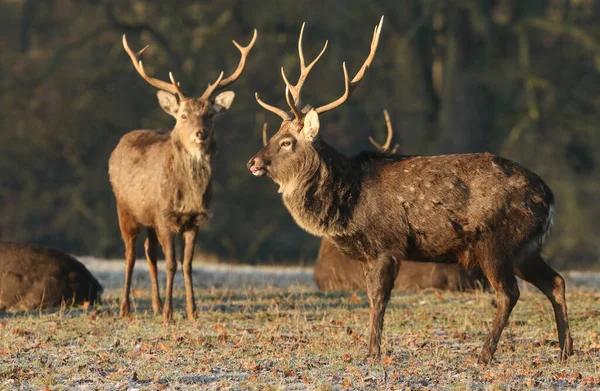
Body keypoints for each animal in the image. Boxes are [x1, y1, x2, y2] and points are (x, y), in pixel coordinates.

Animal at [110, 29, 258, 320]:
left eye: (210, 114)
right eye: (183, 115)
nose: (201, 134)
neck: (188, 196)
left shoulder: (193, 220)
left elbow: (187, 264)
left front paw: (192, 311)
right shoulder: (165, 216)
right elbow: (171, 263)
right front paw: (170, 313)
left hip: (150, 219)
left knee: (149, 253)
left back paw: (155, 305)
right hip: (125, 209)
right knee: (130, 254)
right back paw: (125, 308)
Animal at [247, 18, 572, 366]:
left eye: (286, 142)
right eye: (275, 135)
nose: (253, 162)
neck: (349, 204)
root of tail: (550, 197)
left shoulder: (387, 244)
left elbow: (379, 299)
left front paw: (373, 352)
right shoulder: (369, 253)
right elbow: (371, 298)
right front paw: (372, 349)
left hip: (494, 241)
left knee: (509, 292)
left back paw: (484, 354)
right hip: (526, 247)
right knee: (555, 281)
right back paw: (565, 351)